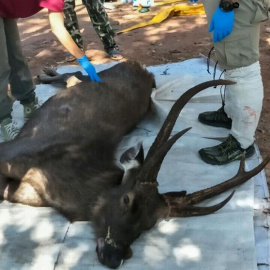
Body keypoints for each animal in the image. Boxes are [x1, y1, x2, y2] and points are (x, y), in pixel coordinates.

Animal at [0, 60, 268, 268]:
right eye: (127, 199)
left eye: (148, 225)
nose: (114, 256)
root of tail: (142, 69)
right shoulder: (14, 151)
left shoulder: (27, 193)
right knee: (75, 73)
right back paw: (46, 73)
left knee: (73, 76)